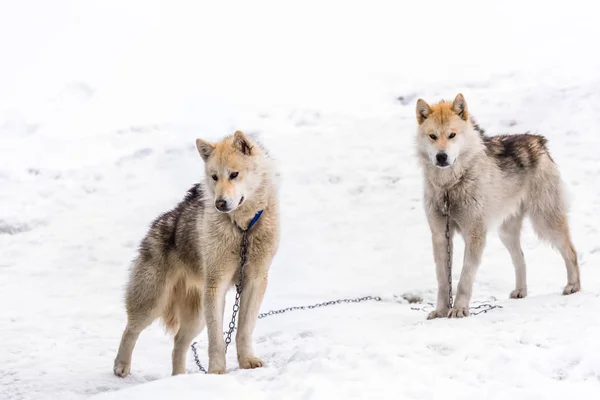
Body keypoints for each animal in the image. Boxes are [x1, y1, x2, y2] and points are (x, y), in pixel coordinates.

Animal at [113, 131, 280, 376]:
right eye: (214, 177)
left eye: (234, 174)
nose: (220, 203)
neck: (243, 230)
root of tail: (158, 223)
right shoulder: (216, 285)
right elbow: (217, 339)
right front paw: (217, 372)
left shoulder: (255, 280)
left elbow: (244, 330)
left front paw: (248, 361)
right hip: (153, 302)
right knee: (130, 330)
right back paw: (121, 366)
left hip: (196, 316)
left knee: (178, 343)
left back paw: (179, 378)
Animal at [414, 94, 580, 318]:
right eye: (432, 136)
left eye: (452, 135)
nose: (441, 156)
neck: (450, 186)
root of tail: (536, 140)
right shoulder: (441, 236)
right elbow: (442, 280)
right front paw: (440, 312)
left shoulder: (475, 234)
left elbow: (465, 277)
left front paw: (459, 309)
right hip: (506, 233)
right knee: (520, 258)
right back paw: (521, 291)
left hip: (545, 222)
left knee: (571, 251)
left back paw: (573, 286)